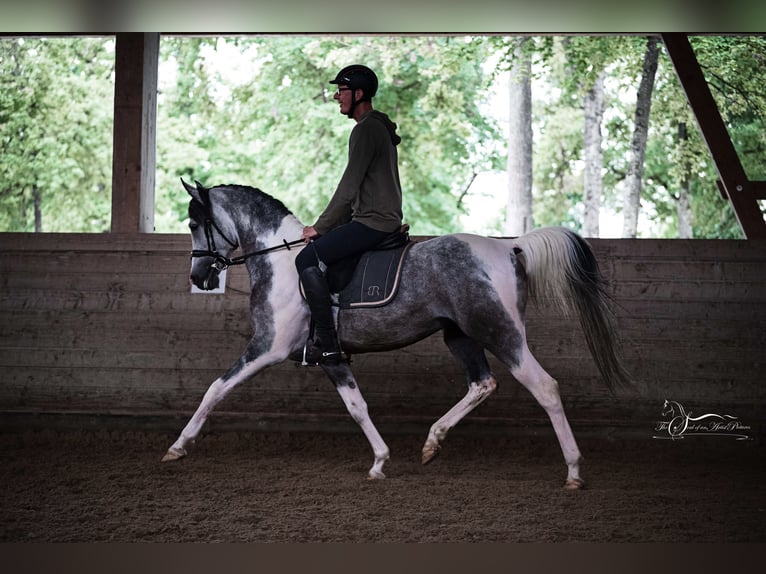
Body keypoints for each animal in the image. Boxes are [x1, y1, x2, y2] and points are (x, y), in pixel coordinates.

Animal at [161, 179, 631, 489]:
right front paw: (380, 462)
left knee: (545, 387)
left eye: (193, 223)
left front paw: (178, 446)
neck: (281, 260)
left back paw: (573, 471)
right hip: (459, 335)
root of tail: (506, 246)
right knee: (482, 384)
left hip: (500, 333)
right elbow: (357, 406)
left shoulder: (265, 349)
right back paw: (433, 442)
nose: (199, 277)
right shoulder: (330, 358)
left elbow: (215, 389)